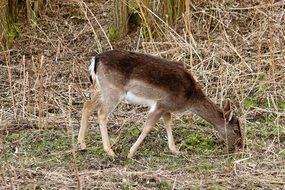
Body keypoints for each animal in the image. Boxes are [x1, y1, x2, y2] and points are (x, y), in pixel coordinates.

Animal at [77, 49, 242, 159]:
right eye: (235, 130)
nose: (240, 146)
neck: (190, 98)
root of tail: (95, 60)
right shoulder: (161, 104)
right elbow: (148, 126)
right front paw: (131, 153)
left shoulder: (167, 108)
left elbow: (168, 124)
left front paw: (175, 150)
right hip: (113, 91)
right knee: (101, 113)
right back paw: (110, 151)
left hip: (101, 90)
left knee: (87, 105)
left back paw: (82, 144)